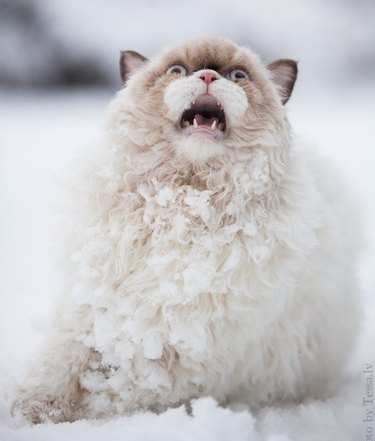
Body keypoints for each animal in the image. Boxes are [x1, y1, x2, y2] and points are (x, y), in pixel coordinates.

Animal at [11, 37, 362, 422]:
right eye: (178, 70)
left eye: (238, 76)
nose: (207, 76)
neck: (184, 204)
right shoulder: (91, 307)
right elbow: (60, 364)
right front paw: (34, 412)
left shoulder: (186, 344)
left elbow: (120, 387)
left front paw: (82, 413)